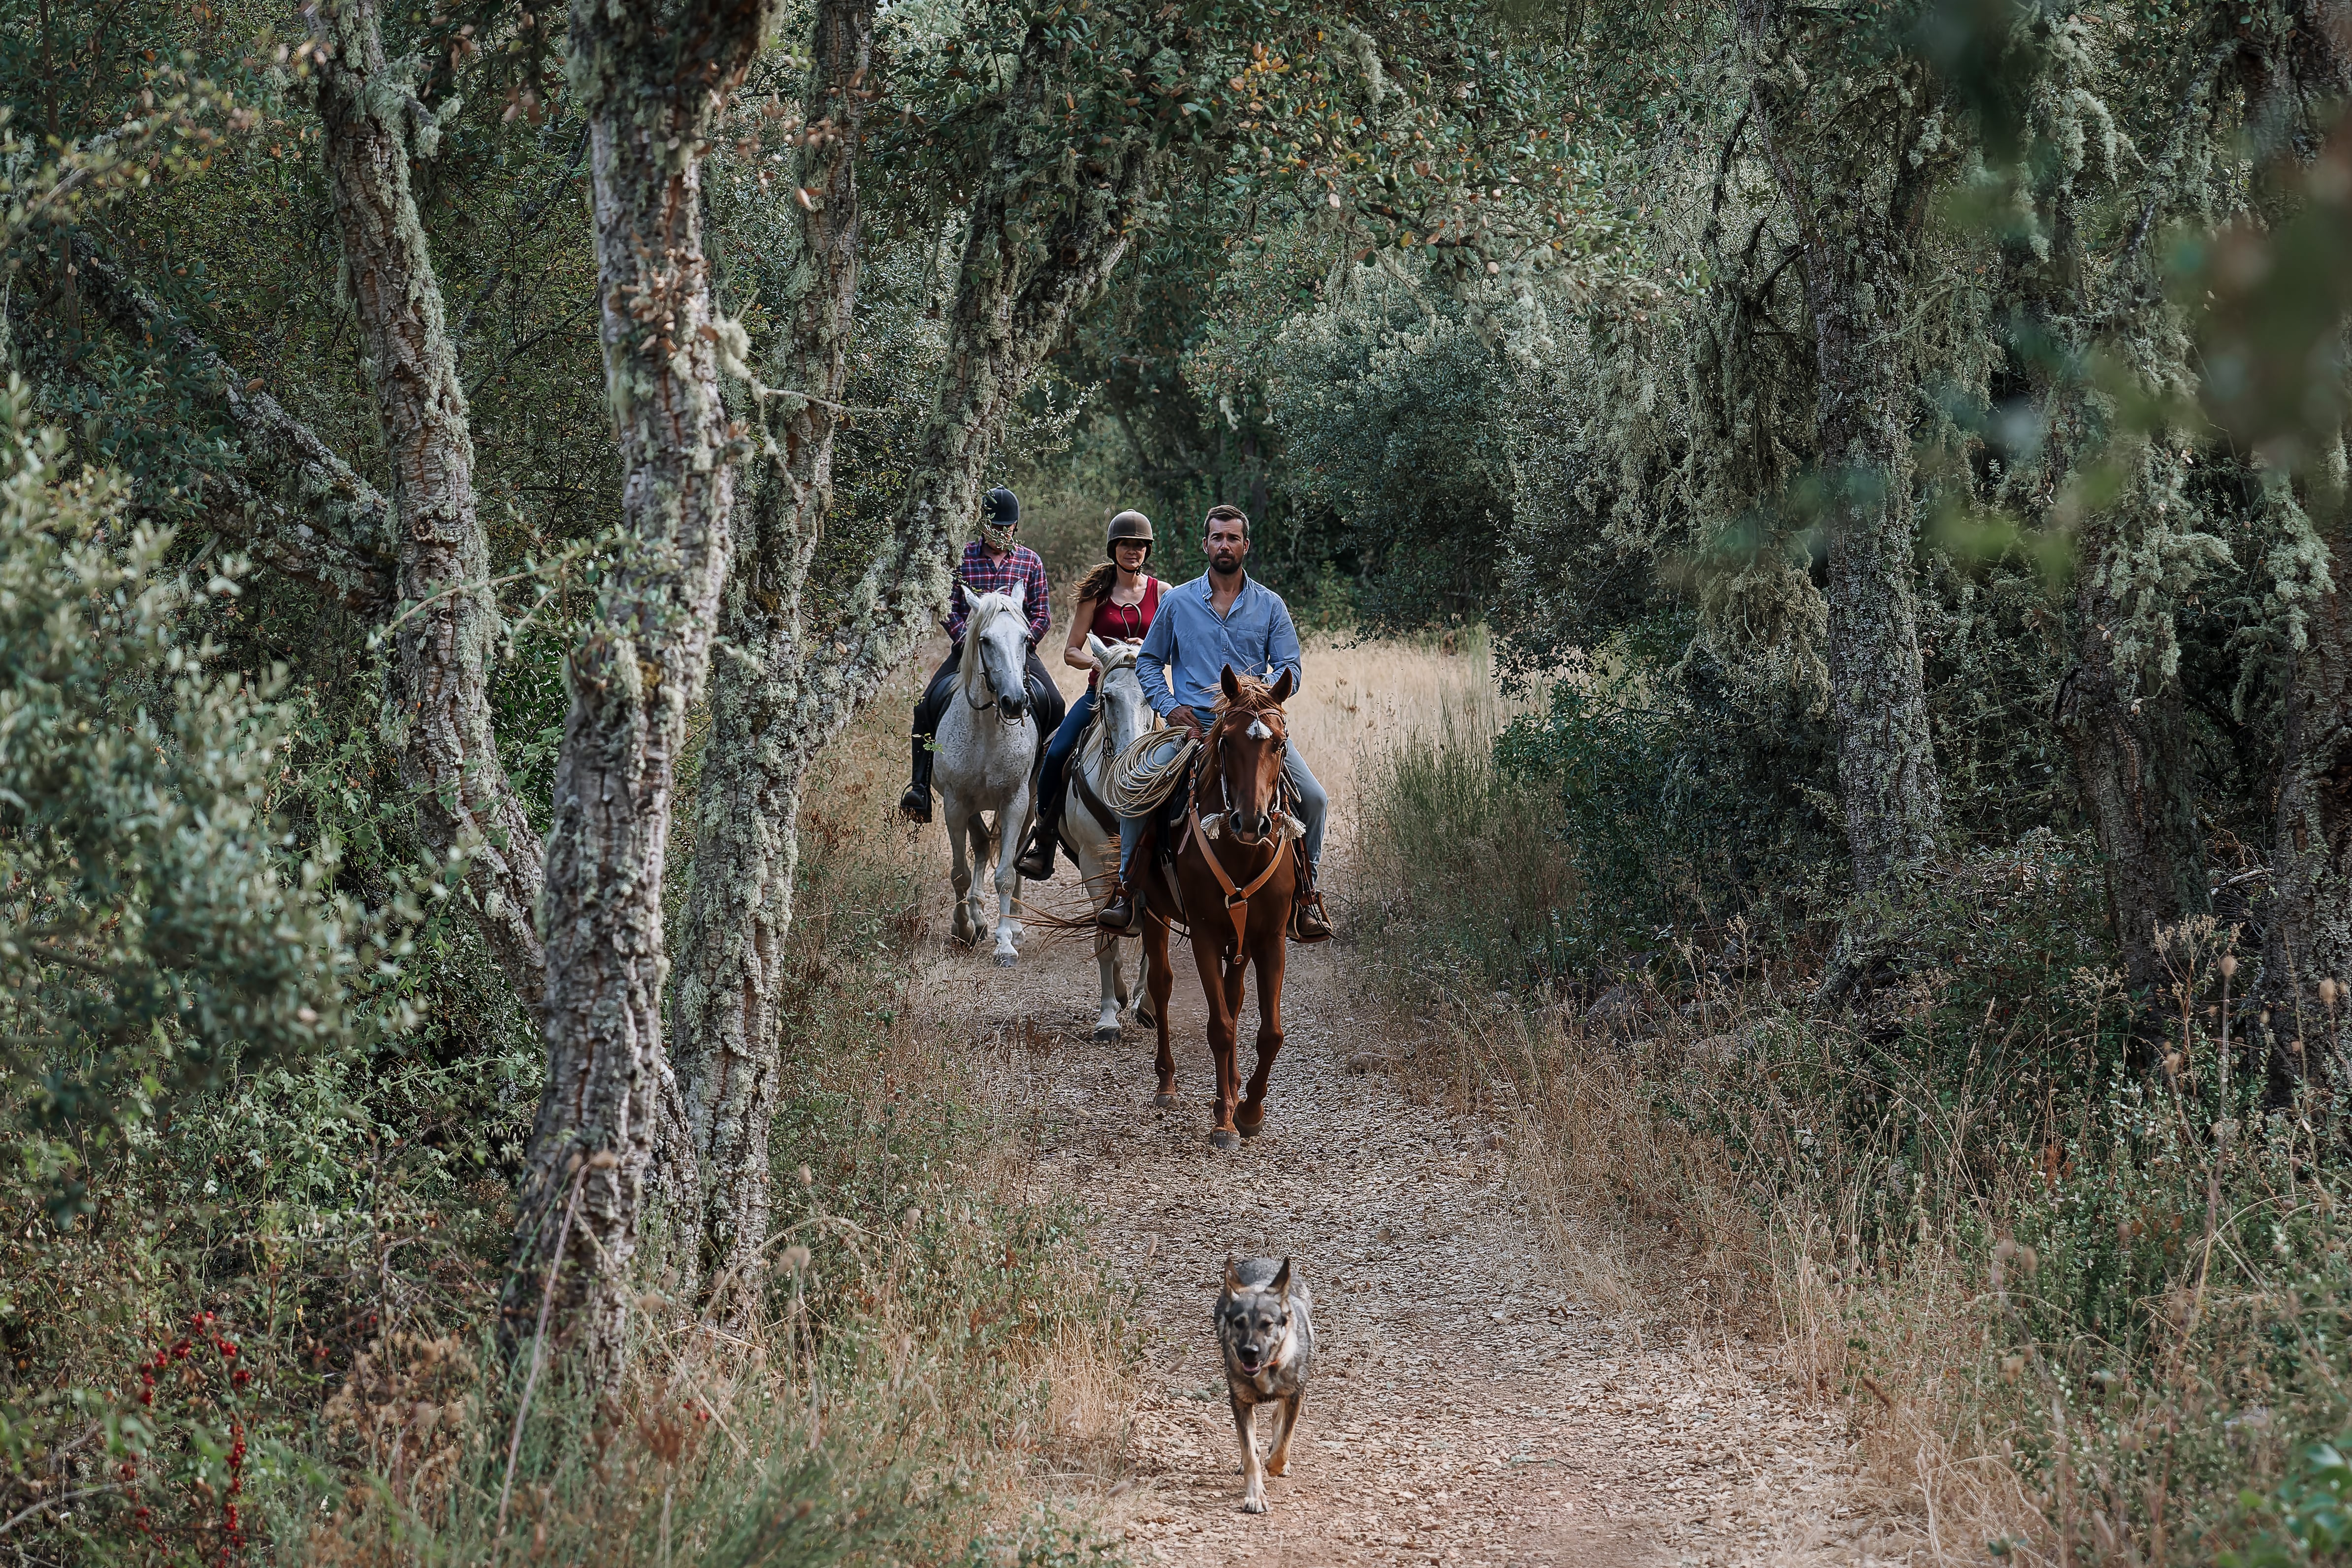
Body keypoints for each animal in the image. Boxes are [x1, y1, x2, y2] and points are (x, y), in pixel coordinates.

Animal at [931, 583, 1034, 963]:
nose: (1015, 702)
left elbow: (1005, 873)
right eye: (985, 640)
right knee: (978, 846)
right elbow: (960, 872)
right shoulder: (955, 803)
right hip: (972, 804)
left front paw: (1005, 942)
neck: (989, 729)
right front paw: (963, 928)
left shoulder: (1016, 800)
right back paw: (976, 916)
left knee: (1011, 854)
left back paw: (1015, 926)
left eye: (1026, 639)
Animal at [1138, 663, 1308, 1152]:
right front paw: (1224, 1120)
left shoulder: (1269, 938)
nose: (1251, 822)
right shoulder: (1206, 935)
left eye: (1279, 743)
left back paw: (1233, 1087)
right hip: (1151, 912)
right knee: (1161, 986)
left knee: (1234, 997)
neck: (1241, 851)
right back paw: (1168, 1084)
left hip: (1242, 939)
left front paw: (1249, 1110)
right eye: (1227, 742)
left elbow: (1268, 1031)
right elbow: (1220, 1027)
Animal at [1223, 1260, 1317, 1514]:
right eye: (1239, 1323)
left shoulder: (1295, 1395)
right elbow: (1249, 1453)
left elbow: (1284, 1443)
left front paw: (1276, 1465)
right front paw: (1255, 1496)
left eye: (1267, 1324)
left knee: (1278, 1417)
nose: (1249, 1352)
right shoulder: (1240, 1402)